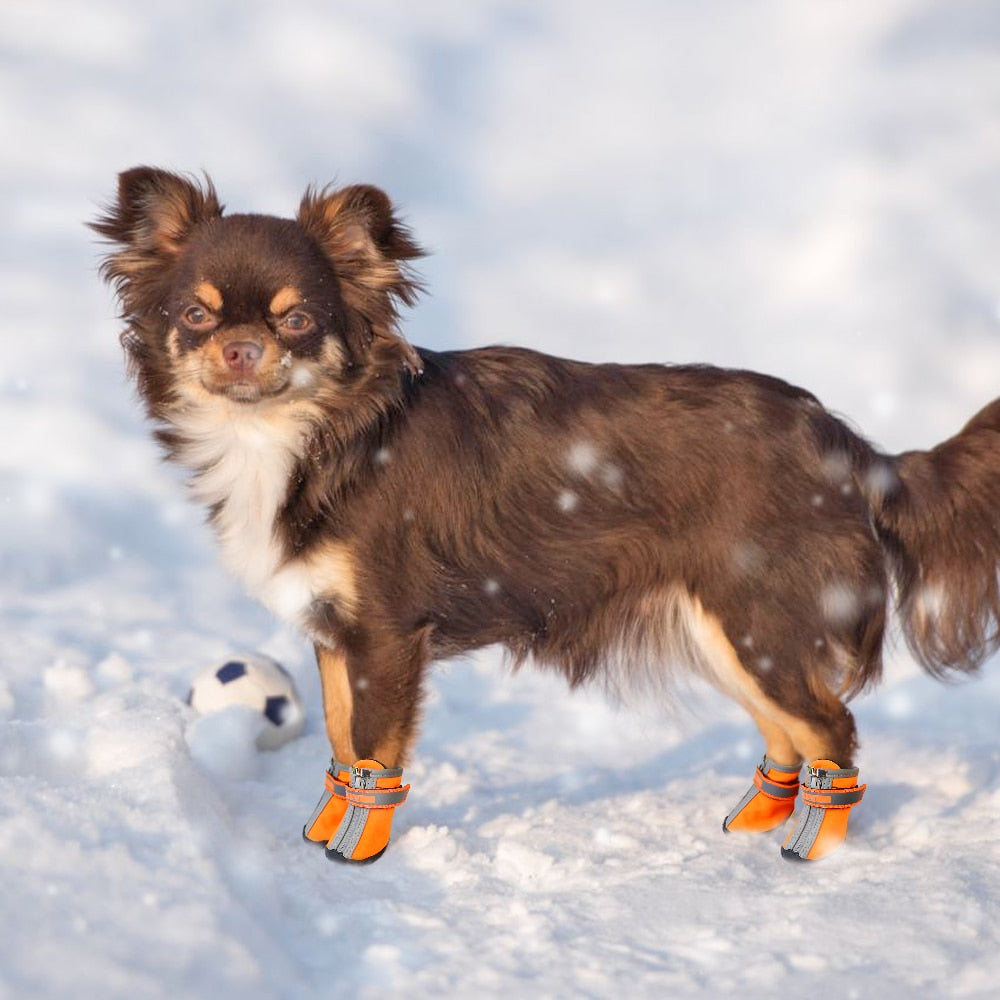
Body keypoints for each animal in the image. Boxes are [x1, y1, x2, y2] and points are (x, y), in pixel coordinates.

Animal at [94, 168, 1000, 864]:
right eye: (196, 315)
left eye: (297, 320)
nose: (241, 349)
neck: (305, 437)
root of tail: (854, 450)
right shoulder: (334, 634)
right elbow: (342, 740)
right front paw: (321, 831)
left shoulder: (385, 633)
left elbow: (375, 754)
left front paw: (356, 851)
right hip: (724, 629)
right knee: (790, 734)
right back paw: (752, 824)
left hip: (757, 623)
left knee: (831, 731)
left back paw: (811, 850)